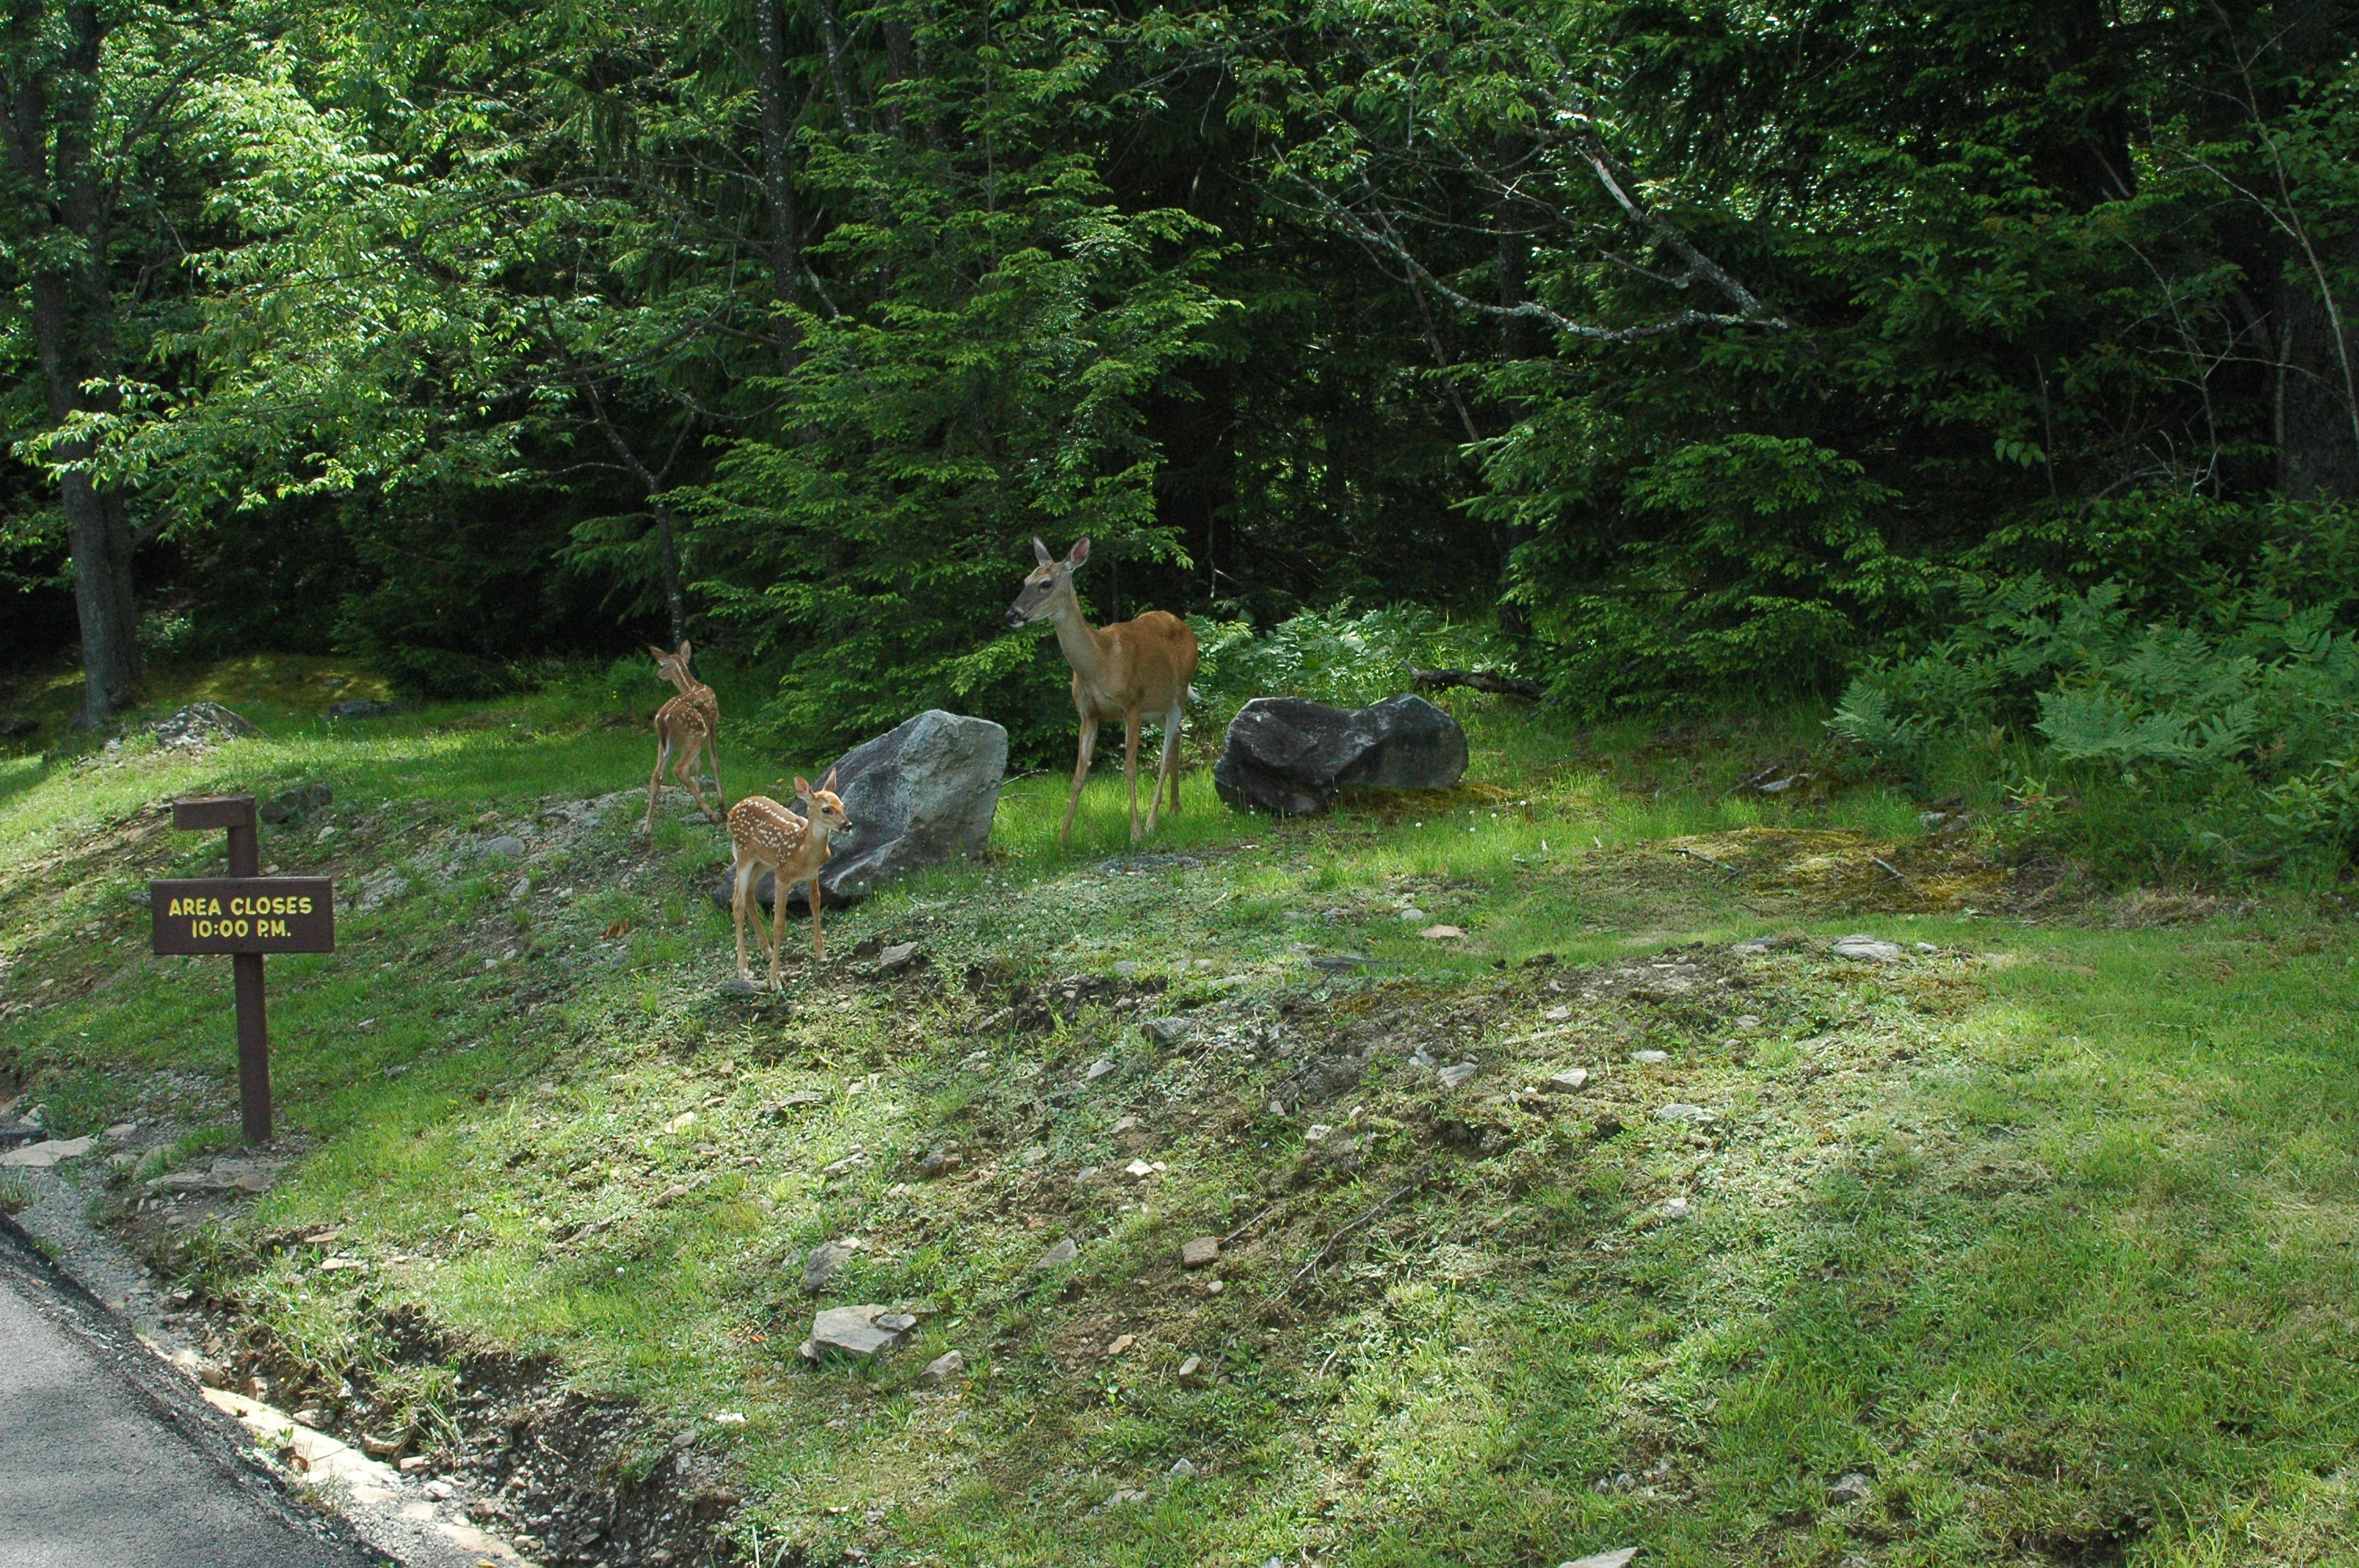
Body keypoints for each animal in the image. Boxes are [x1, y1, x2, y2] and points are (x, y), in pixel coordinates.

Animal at [642, 641, 722, 829]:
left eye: (662, 666)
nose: (658, 676)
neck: (692, 685)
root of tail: (662, 718)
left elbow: (698, 765)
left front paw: (697, 804)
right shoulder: (712, 724)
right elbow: (714, 763)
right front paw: (721, 804)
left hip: (667, 742)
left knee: (657, 774)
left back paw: (647, 828)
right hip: (696, 733)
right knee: (680, 768)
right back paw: (713, 814)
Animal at [736, 773, 858, 990]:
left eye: (843, 805)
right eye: (826, 809)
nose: (848, 825)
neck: (802, 851)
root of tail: (733, 809)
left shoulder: (812, 875)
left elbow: (815, 904)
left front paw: (822, 954)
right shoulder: (782, 878)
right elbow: (779, 924)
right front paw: (775, 979)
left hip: (763, 862)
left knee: (749, 893)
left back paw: (766, 951)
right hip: (743, 855)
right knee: (737, 902)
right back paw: (743, 968)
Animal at [1009, 535, 1198, 839]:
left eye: (1046, 583)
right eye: (1026, 579)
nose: (1011, 614)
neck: (1101, 660)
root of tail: (1184, 626)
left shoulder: (1131, 704)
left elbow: (1130, 768)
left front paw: (1135, 832)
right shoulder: (1088, 714)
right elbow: (1078, 775)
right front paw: (1063, 837)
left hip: (1177, 693)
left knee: (1165, 750)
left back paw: (1152, 821)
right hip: (1158, 707)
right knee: (1178, 737)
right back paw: (1174, 807)